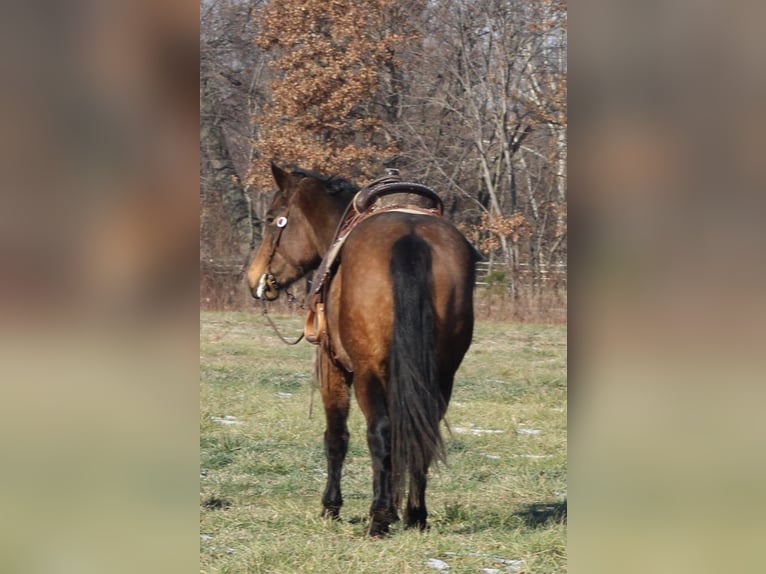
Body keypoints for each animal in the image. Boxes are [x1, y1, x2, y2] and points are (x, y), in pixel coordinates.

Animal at [247, 162, 477, 536]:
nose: (255, 279)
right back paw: (415, 515)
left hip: (369, 372)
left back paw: (379, 517)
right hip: (442, 374)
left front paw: (331, 506)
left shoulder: (332, 366)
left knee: (379, 432)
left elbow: (336, 437)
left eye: (271, 218)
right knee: (422, 430)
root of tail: (411, 237)